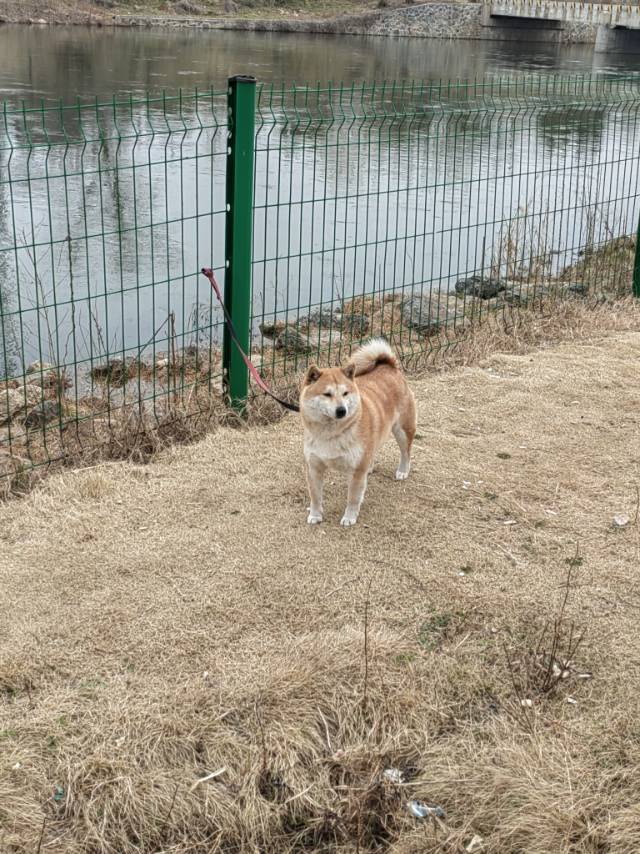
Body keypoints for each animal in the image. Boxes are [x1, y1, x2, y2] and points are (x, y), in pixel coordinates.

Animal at [300, 340, 416, 528]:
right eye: (327, 394)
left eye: (345, 393)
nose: (341, 410)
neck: (331, 433)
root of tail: (389, 366)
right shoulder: (314, 467)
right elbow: (315, 496)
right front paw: (315, 515)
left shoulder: (356, 471)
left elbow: (353, 498)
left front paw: (349, 517)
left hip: (402, 430)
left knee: (406, 452)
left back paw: (403, 471)